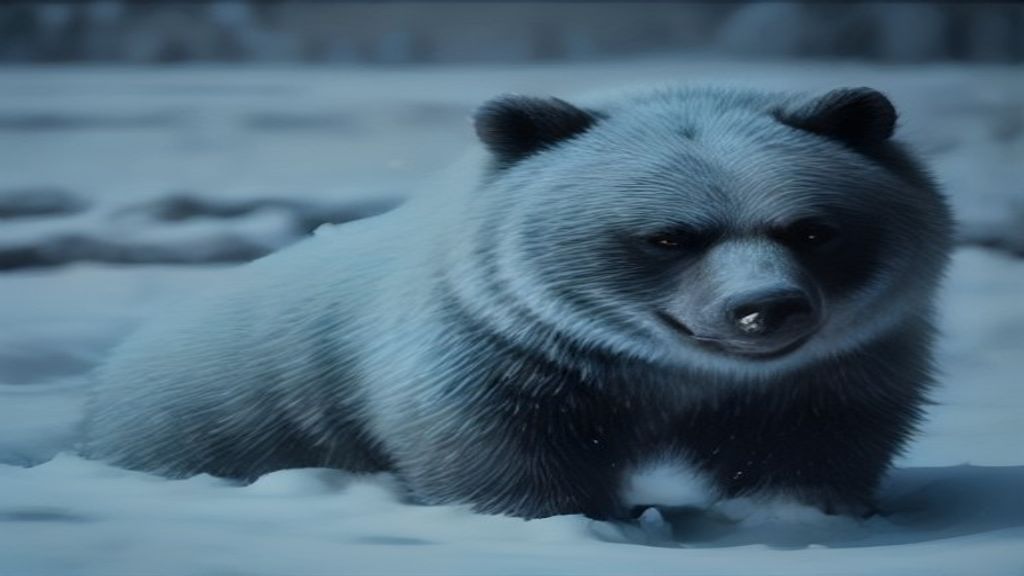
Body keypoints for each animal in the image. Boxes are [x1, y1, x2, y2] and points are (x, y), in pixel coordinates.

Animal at [82, 85, 953, 520]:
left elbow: (811, 445)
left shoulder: (831, 369)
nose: (765, 308)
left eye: (811, 228)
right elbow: (500, 448)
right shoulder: (506, 349)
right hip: (208, 424)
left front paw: (799, 511)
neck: (668, 371)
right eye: (671, 236)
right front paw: (563, 520)